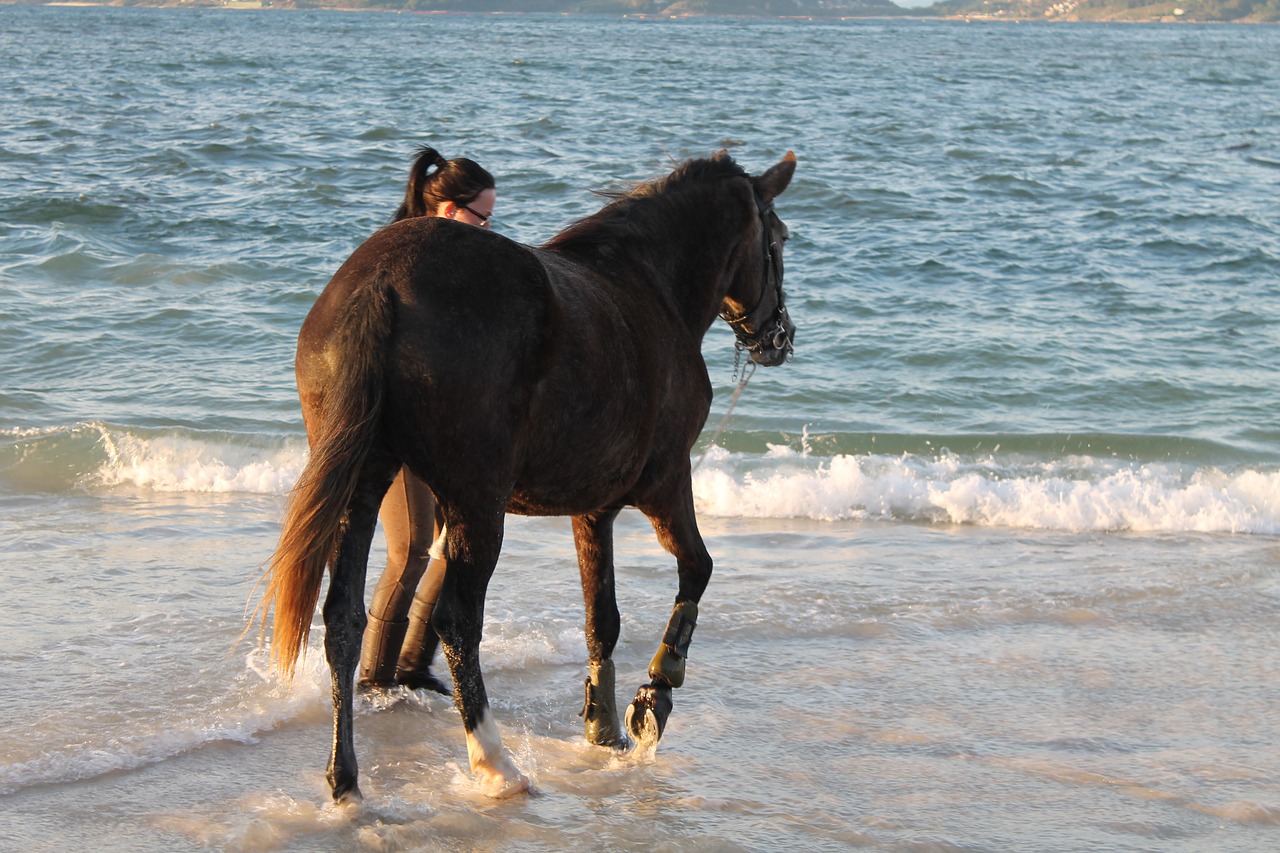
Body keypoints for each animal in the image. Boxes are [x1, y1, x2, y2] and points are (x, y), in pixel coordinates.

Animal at [259, 149, 793, 799]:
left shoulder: (594, 508)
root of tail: (380, 281)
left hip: (369, 483)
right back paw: (494, 761)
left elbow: (601, 619)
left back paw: (346, 779)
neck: (648, 286)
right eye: (779, 239)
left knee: (343, 619)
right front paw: (654, 696)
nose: (780, 335)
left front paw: (603, 724)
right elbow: (697, 570)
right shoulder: (666, 482)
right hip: (477, 503)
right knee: (456, 621)